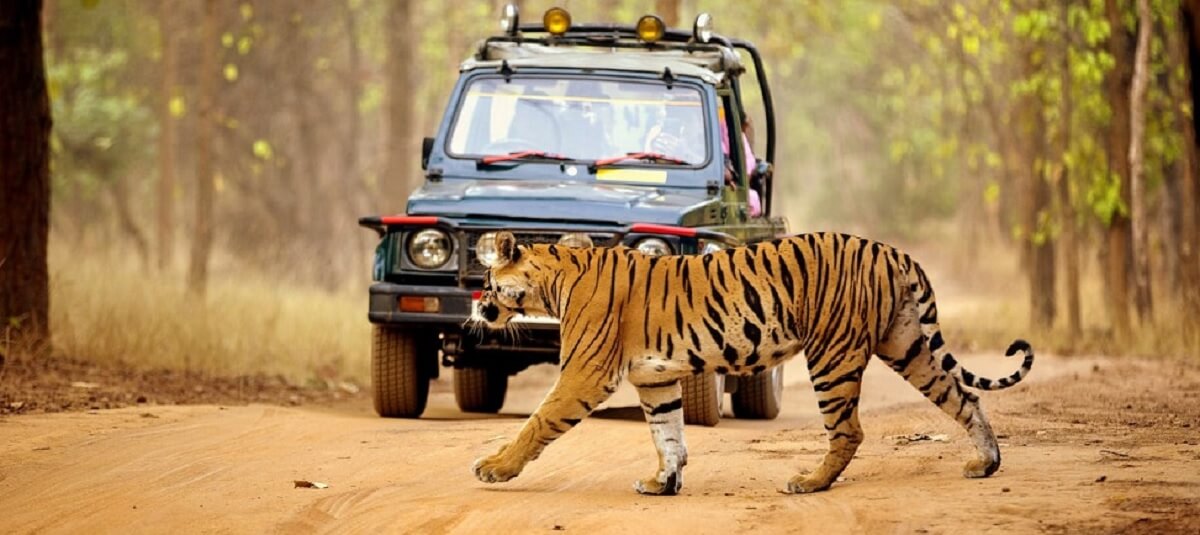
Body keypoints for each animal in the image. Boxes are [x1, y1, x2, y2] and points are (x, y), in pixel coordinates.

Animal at [471, 231, 1034, 495]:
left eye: (488, 281)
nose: (478, 306)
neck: (552, 281)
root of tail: (891, 251)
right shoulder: (655, 381)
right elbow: (668, 436)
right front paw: (662, 484)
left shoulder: (585, 373)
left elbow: (538, 422)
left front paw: (494, 467)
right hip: (907, 345)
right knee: (963, 396)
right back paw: (986, 464)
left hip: (832, 354)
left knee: (849, 430)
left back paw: (809, 482)